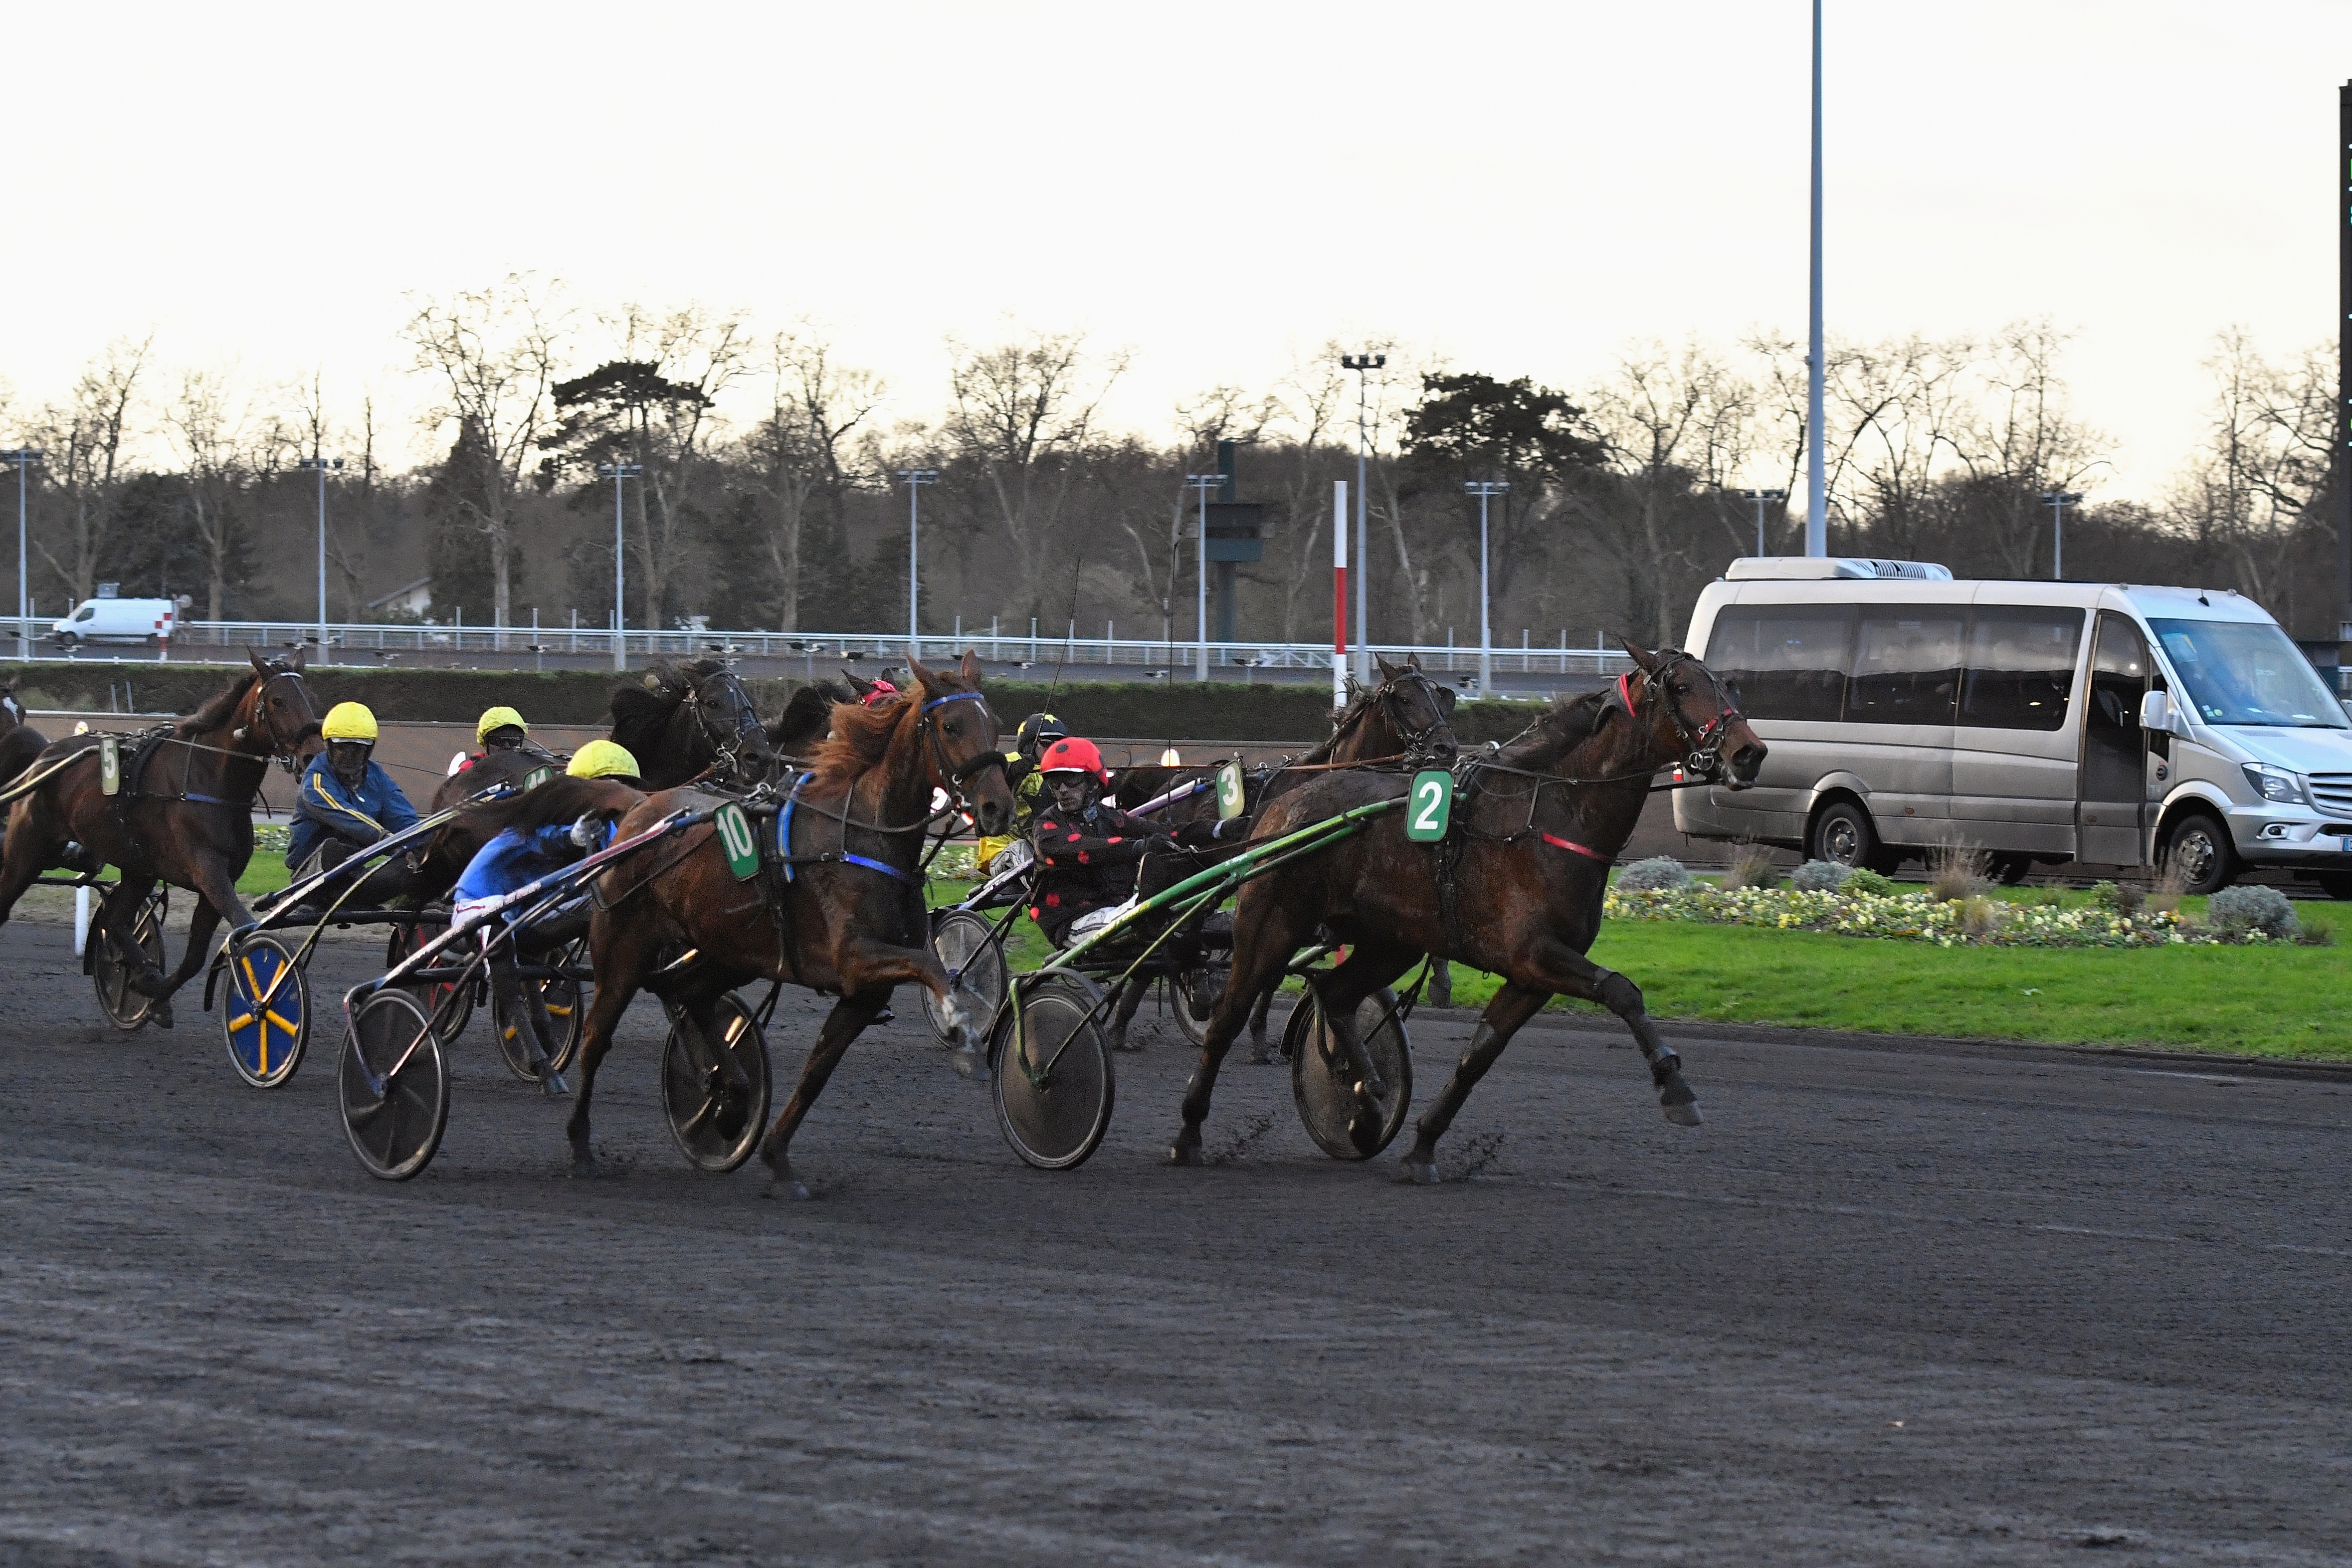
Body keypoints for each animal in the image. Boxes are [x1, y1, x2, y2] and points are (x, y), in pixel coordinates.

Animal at [0, 648, 322, 1029]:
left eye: (313, 699)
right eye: (277, 701)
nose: (313, 753)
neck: (209, 779)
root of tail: (41, 761)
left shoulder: (217, 880)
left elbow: (194, 958)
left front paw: (153, 993)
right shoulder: (208, 871)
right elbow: (244, 926)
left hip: (138, 867)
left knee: (115, 921)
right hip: (26, 851)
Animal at [1171, 644, 1768, 1184]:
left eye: (1728, 686)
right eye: (1682, 688)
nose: (1750, 752)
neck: (1549, 816)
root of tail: (1278, 807)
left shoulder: (1532, 974)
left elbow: (1478, 1057)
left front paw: (1422, 1147)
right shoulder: (1533, 953)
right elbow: (1623, 991)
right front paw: (1676, 1088)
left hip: (1390, 942)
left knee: (1335, 995)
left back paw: (1366, 1109)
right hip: (1270, 926)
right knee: (1228, 1016)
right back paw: (1189, 1133)